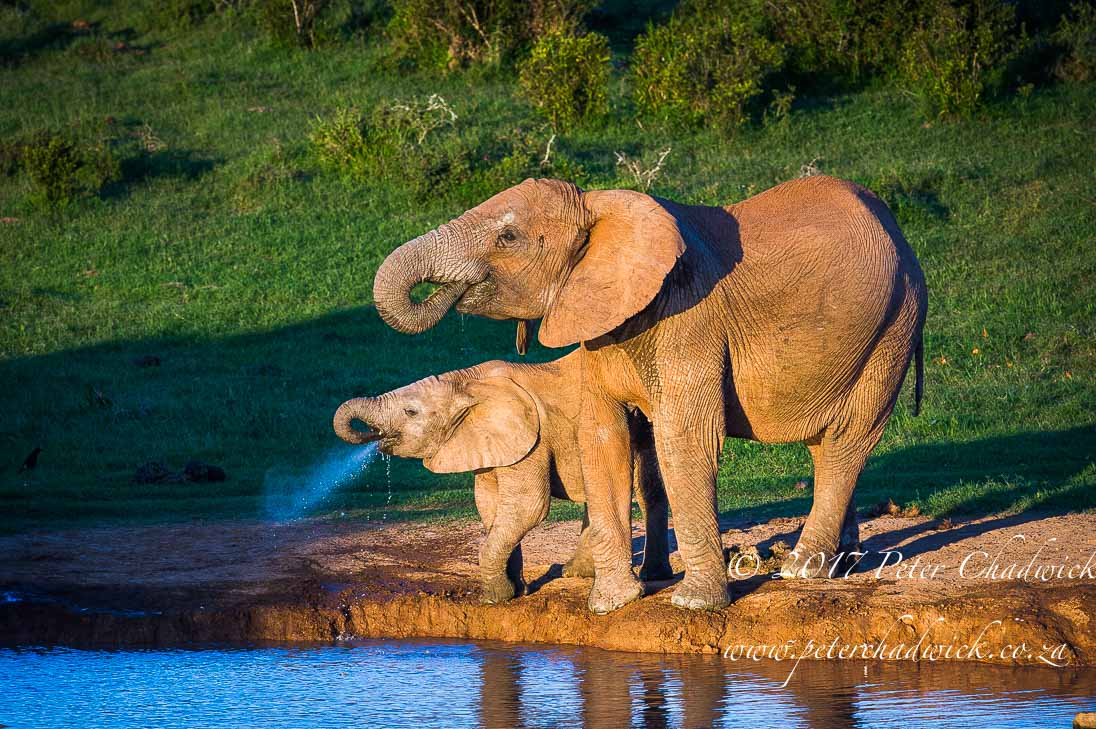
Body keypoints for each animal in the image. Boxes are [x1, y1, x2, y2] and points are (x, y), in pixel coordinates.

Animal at [332, 350, 673, 604]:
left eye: (411, 412)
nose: (374, 438)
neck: (467, 382)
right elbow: (489, 504)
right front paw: (514, 592)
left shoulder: (532, 438)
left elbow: (527, 507)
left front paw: (494, 597)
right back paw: (576, 572)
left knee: (646, 486)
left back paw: (649, 576)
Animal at [370, 174, 927, 613]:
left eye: (508, 237)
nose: (444, 293)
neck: (601, 208)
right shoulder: (598, 324)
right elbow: (603, 438)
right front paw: (611, 605)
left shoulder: (690, 316)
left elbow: (685, 441)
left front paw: (695, 605)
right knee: (825, 441)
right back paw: (843, 564)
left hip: (895, 324)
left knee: (849, 437)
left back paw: (801, 571)